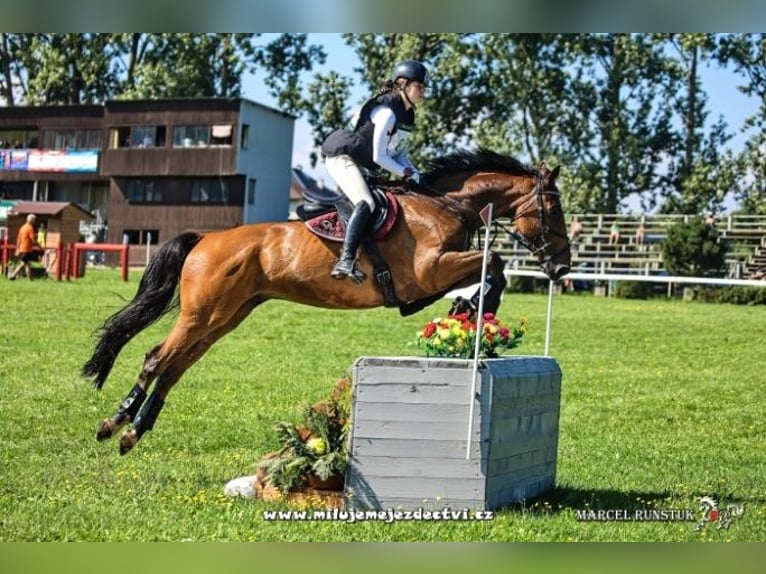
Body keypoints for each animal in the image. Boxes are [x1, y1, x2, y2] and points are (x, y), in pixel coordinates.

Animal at [82, 148, 571, 455]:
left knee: (174, 367)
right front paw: (469, 312)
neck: (444, 205)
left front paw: (466, 312)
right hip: (202, 314)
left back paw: (134, 432)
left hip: (223, 318)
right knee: (155, 358)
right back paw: (114, 424)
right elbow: (496, 263)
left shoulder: (439, 272)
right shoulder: (429, 271)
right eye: (554, 208)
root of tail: (206, 238)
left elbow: (491, 270)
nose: (563, 267)